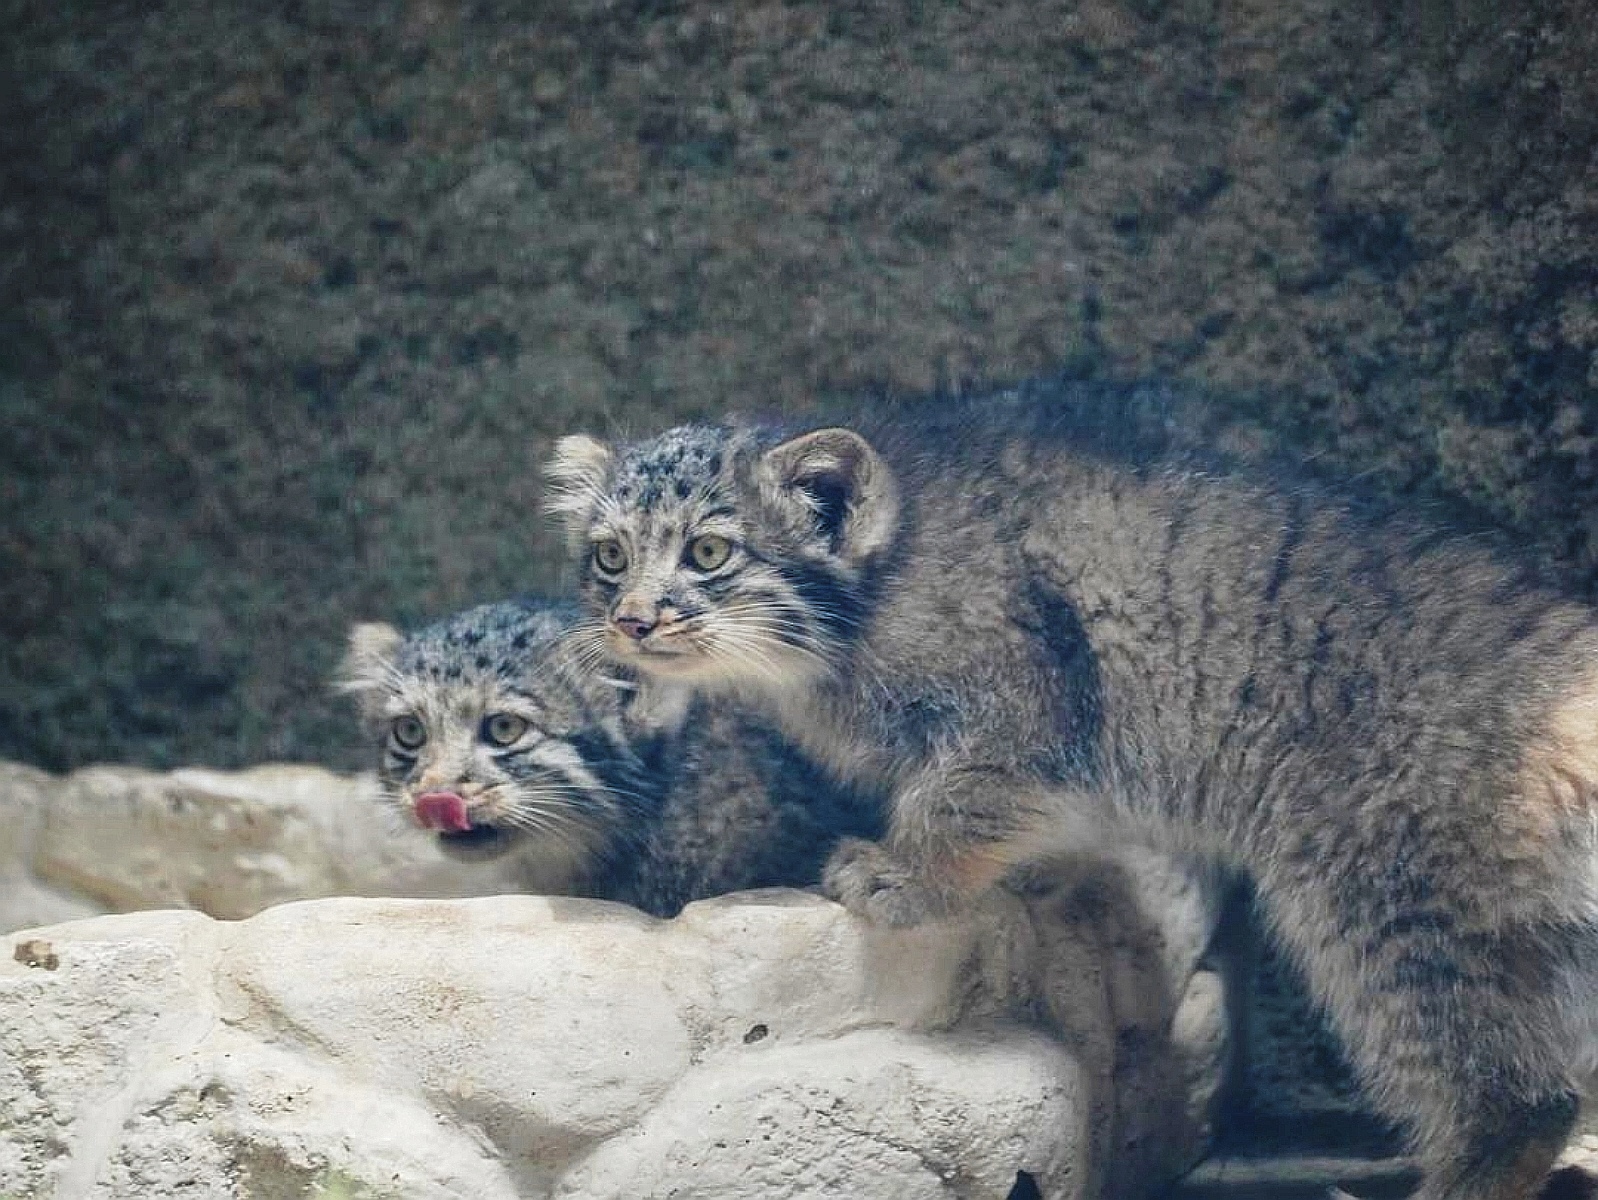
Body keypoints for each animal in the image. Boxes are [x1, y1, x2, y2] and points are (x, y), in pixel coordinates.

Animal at [546, 386, 1598, 1200]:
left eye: (709, 553)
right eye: (609, 556)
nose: (631, 620)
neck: (872, 599)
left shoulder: (1025, 707)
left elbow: (959, 798)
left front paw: (905, 876)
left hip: (1390, 899)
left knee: (1523, 1095)